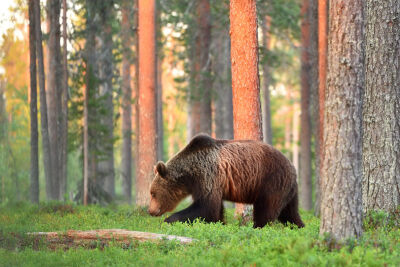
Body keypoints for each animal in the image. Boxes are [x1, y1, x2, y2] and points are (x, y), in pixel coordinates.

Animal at [148, 134, 304, 228]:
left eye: (152, 193)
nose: (151, 211)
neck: (190, 175)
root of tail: (293, 167)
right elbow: (215, 211)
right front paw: (220, 224)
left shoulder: (208, 175)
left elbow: (206, 207)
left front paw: (168, 220)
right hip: (288, 191)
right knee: (290, 214)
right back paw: (300, 227)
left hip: (271, 181)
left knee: (265, 211)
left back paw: (257, 228)